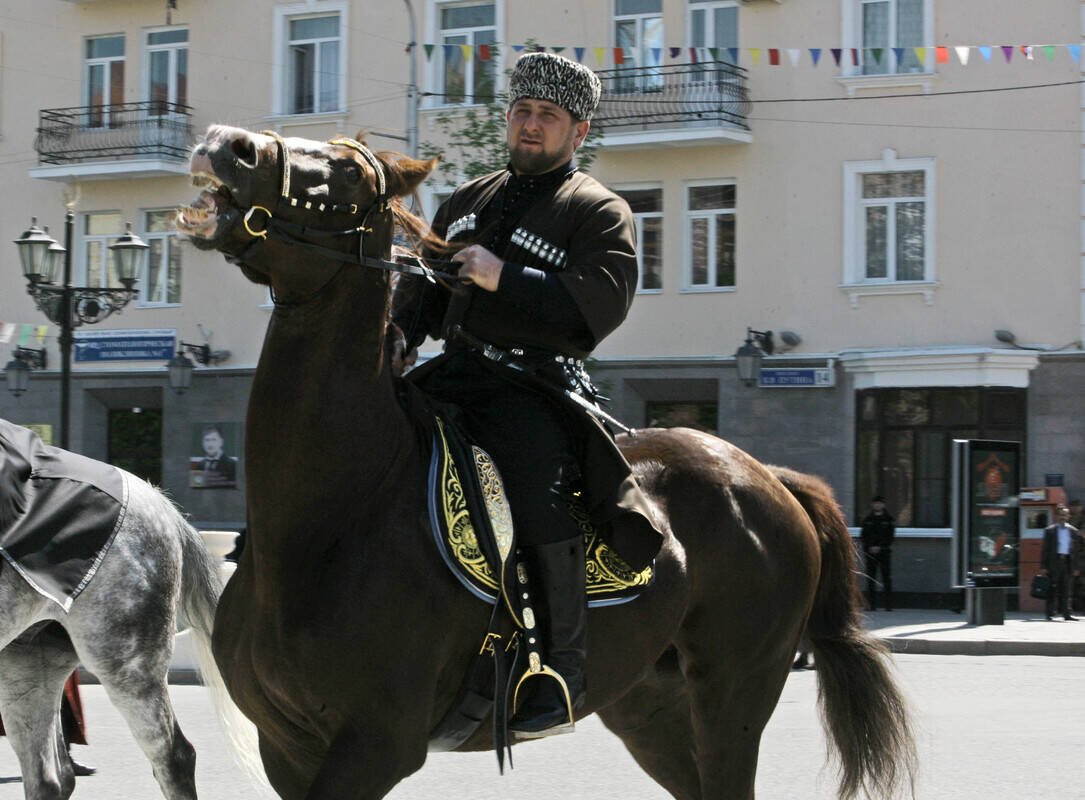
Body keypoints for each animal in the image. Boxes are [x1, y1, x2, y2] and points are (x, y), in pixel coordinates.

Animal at [176, 124, 916, 800]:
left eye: (350, 174)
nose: (226, 143)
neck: (331, 518)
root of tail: (766, 476)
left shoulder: (375, 745)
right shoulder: (287, 748)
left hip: (733, 692)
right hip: (647, 708)